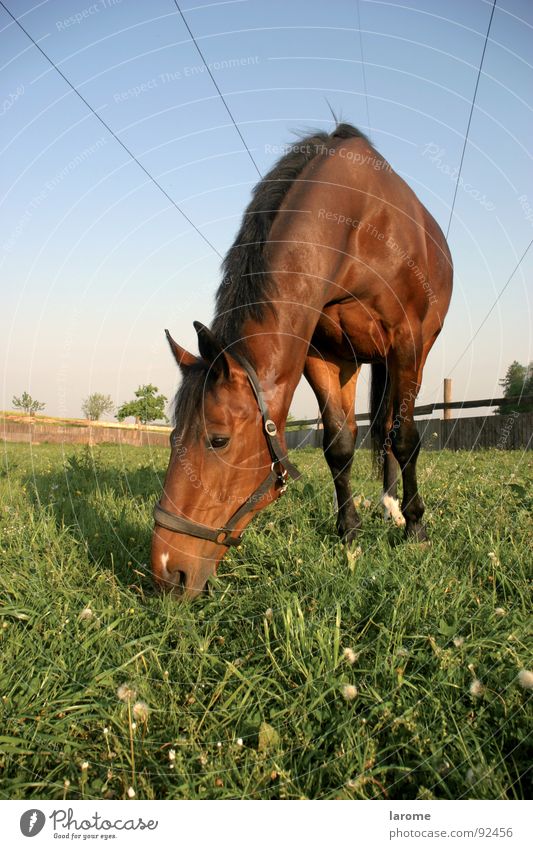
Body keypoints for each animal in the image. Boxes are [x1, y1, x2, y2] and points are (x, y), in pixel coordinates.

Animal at [152, 122, 450, 600]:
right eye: (171, 438)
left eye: (218, 439)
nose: (165, 572)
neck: (358, 224)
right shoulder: (320, 352)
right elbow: (339, 445)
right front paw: (349, 535)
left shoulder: (406, 341)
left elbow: (405, 439)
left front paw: (417, 529)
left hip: (414, 356)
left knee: (393, 428)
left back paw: (399, 510)